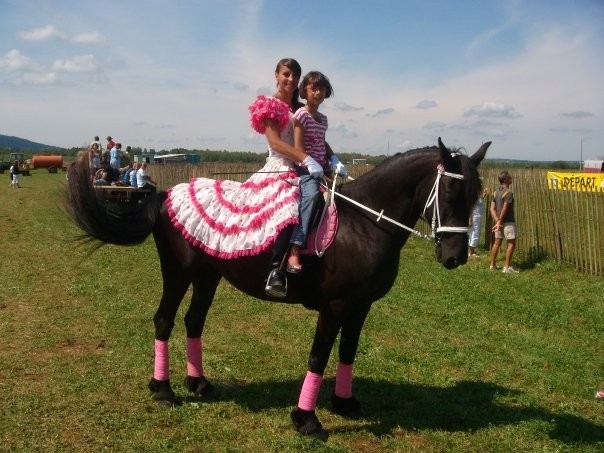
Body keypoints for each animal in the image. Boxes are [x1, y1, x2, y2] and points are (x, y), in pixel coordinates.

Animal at [65, 137, 490, 438]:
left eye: (476, 196)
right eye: (450, 193)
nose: (455, 257)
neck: (364, 223)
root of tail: (167, 193)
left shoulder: (360, 306)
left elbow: (348, 352)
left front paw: (345, 403)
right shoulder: (335, 306)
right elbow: (319, 356)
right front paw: (307, 421)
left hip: (208, 276)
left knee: (193, 322)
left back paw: (198, 383)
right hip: (178, 273)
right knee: (164, 321)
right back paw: (163, 391)